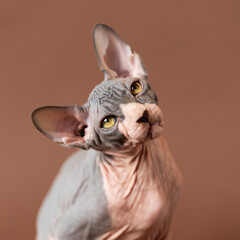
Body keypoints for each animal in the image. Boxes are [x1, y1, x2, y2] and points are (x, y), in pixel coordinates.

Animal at [32, 23, 182, 240]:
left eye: (136, 87)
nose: (143, 115)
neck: (142, 164)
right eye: (108, 122)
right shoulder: (69, 230)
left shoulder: (164, 228)